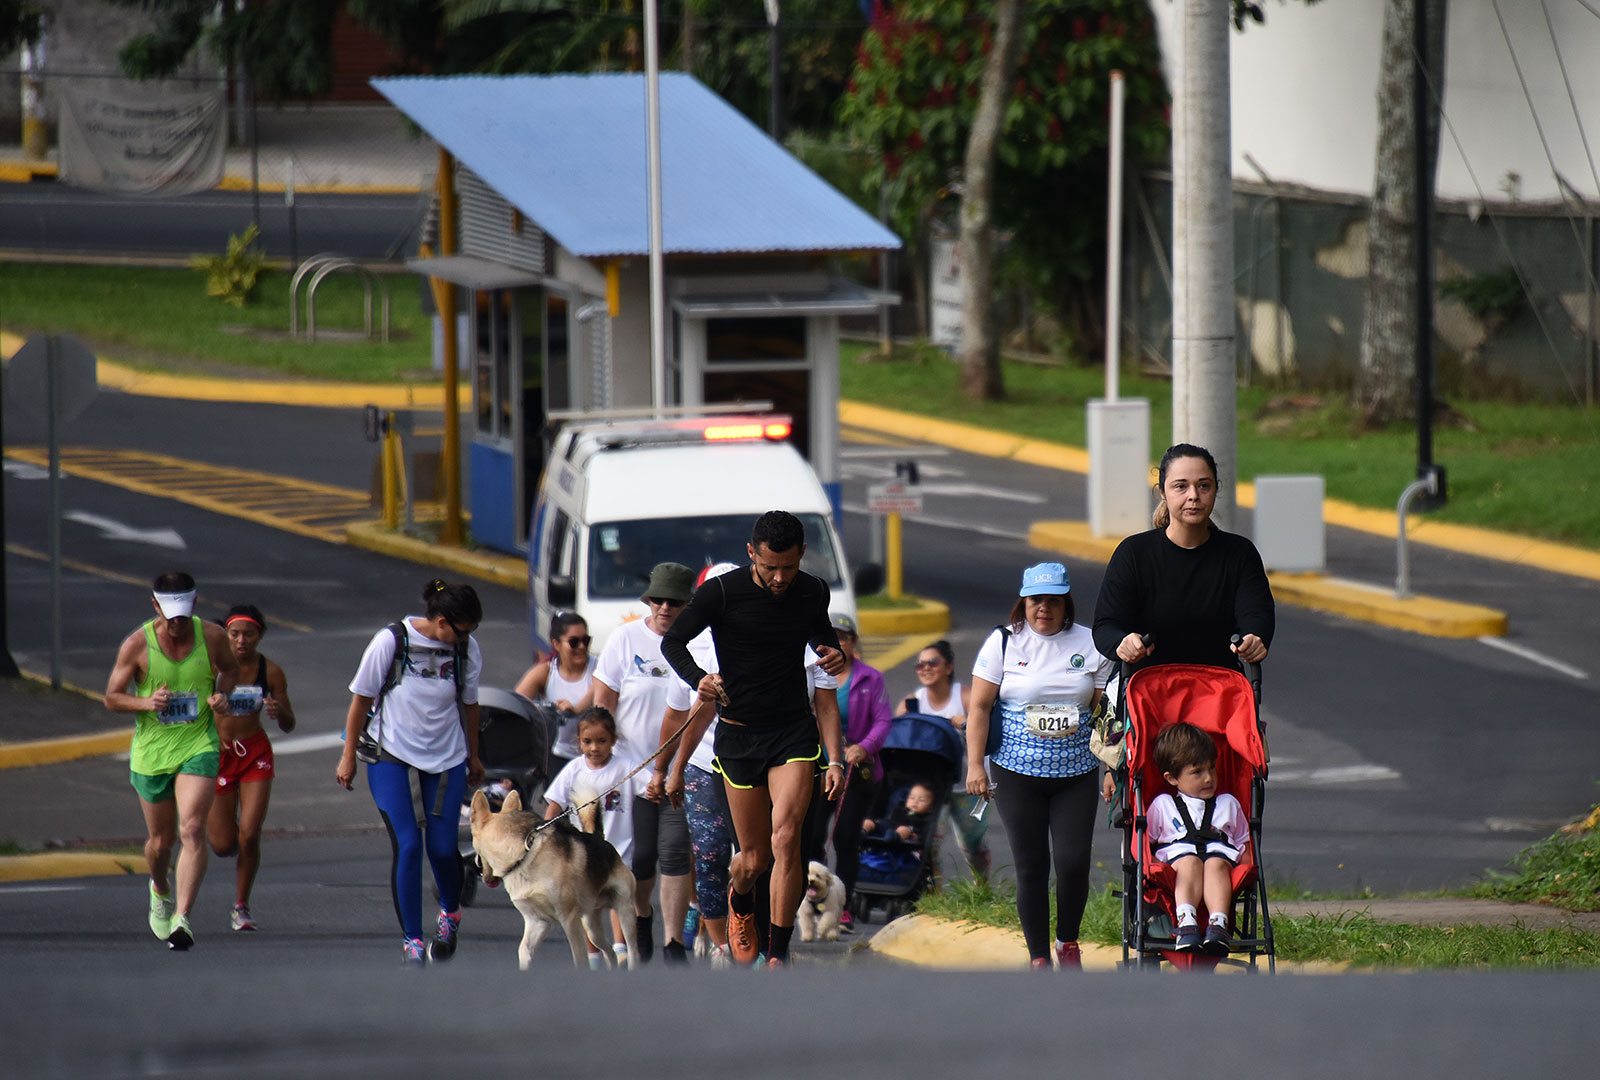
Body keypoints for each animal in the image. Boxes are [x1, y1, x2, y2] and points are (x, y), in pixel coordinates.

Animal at [467, 787, 636, 972]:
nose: (477, 867)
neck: (523, 856)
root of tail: (601, 840)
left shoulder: (569, 919)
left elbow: (580, 959)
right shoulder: (537, 922)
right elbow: (523, 950)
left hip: (625, 913)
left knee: (633, 950)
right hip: (592, 928)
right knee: (608, 950)